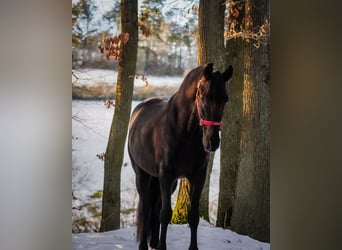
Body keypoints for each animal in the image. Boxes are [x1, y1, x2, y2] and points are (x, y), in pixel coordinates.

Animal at [127, 63, 232, 249]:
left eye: (225, 99)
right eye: (203, 96)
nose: (212, 142)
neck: (184, 132)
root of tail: (140, 109)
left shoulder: (197, 177)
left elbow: (193, 216)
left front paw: (193, 248)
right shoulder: (166, 175)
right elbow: (165, 214)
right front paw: (162, 247)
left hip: (166, 181)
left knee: (155, 207)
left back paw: (153, 242)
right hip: (143, 175)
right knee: (146, 208)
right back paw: (144, 245)